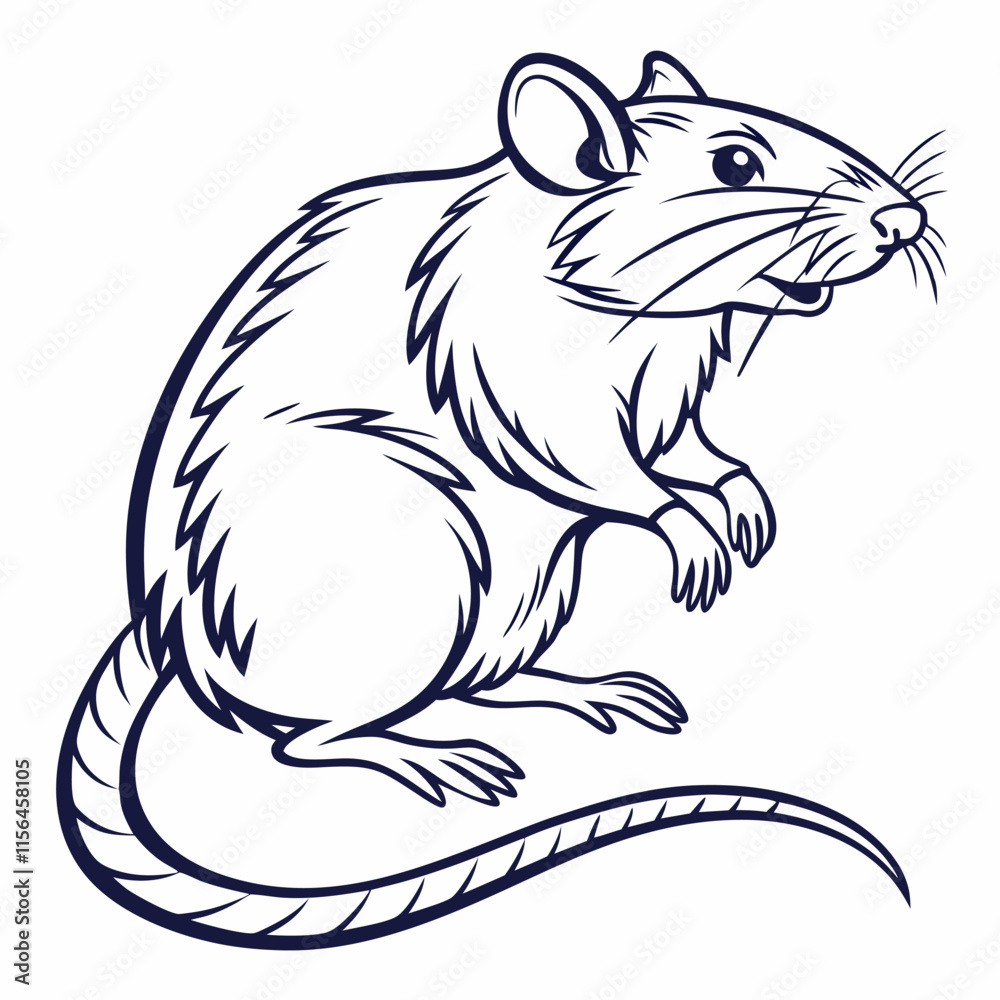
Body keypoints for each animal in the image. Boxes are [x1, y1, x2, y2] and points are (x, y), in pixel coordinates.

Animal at [59, 51, 942, 948]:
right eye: (735, 164)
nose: (905, 220)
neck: (633, 307)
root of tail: (182, 632)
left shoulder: (667, 390)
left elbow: (682, 450)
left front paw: (740, 496)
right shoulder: (521, 378)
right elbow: (602, 468)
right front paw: (689, 531)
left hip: (530, 590)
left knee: (474, 681)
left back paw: (587, 691)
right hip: (427, 562)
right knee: (307, 743)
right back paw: (426, 754)